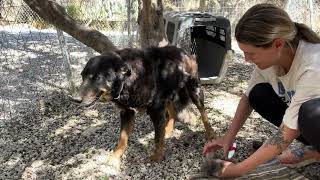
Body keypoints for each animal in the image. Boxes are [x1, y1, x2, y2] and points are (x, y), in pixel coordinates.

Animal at [76, 46, 214, 165]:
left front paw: (157, 157)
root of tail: (185, 52)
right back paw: (168, 130)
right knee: (172, 112)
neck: (129, 80)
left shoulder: (156, 111)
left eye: (97, 77)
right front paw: (115, 158)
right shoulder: (127, 112)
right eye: (82, 76)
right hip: (167, 94)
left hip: (194, 90)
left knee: (203, 113)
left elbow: (157, 138)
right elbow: (122, 139)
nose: (75, 99)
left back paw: (210, 134)